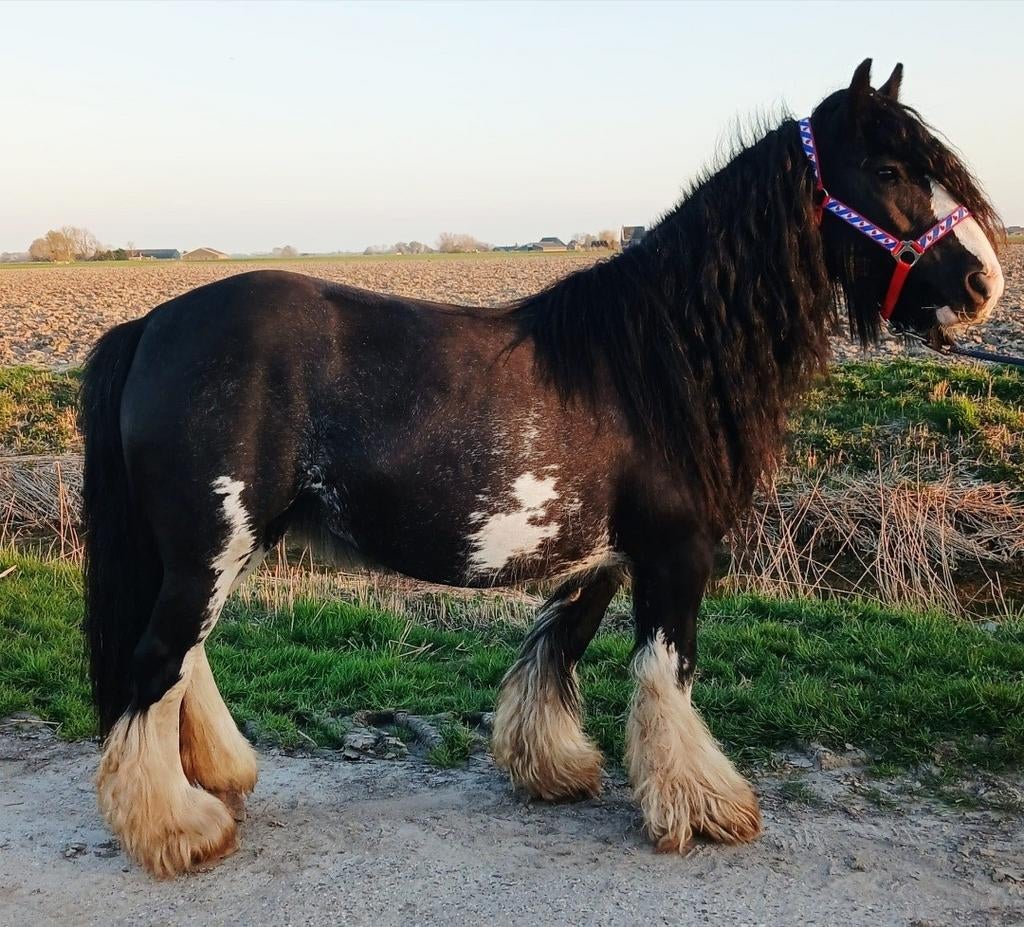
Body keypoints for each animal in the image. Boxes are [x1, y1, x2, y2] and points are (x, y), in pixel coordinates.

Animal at [80, 59, 1004, 877]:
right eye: (888, 168)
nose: (983, 282)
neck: (656, 358)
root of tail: (153, 324)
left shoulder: (602, 557)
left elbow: (555, 651)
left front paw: (553, 768)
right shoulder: (676, 555)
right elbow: (665, 671)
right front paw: (705, 808)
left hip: (218, 547)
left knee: (183, 662)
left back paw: (221, 776)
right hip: (211, 547)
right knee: (156, 665)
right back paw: (179, 829)